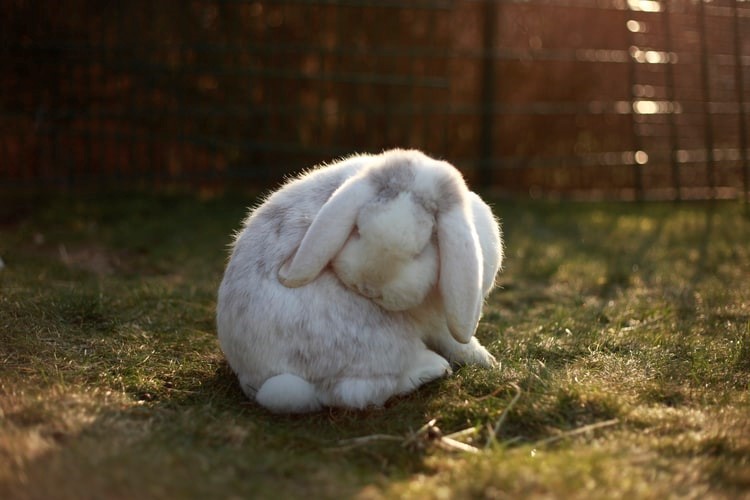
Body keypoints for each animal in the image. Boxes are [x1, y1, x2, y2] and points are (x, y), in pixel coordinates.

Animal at [217, 149, 503, 413]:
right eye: (357, 229)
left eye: (421, 250)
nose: (367, 287)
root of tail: (254, 376)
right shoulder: (438, 324)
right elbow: (456, 342)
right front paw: (487, 360)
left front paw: (487, 362)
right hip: (378, 345)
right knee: (360, 391)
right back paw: (434, 368)